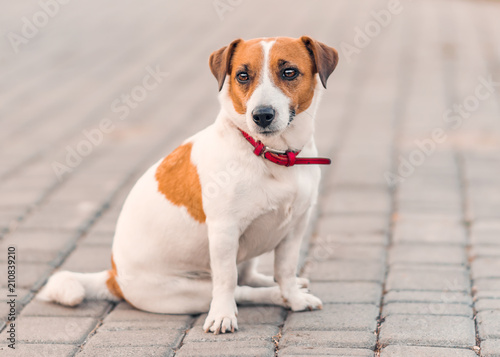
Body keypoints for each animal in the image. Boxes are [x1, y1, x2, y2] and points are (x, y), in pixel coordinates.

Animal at [37, 36, 338, 334]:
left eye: (289, 72)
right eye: (242, 76)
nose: (261, 115)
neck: (271, 154)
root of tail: (114, 278)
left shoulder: (295, 226)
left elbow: (285, 270)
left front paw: (294, 298)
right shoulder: (224, 231)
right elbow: (227, 280)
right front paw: (223, 316)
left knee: (251, 276)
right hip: (190, 291)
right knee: (240, 289)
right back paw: (268, 296)